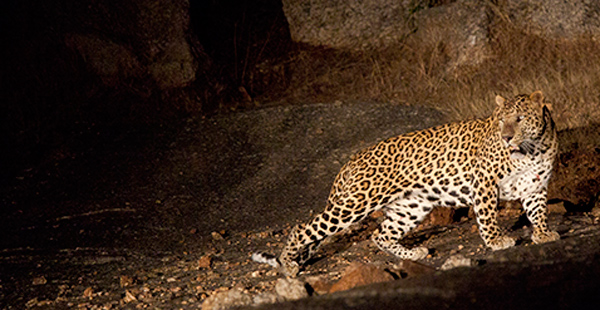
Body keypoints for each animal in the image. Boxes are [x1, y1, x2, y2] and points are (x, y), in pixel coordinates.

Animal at [252, 90, 556, 276]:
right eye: (501, 120)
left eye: (519, 119)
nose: (506, 138)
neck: (534, 148)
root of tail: (350, 161)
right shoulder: (483, 181)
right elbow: (487, 216)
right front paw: (496, 241)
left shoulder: (536, 186)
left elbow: (538, 212)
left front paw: (543, 234)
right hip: (357, 202)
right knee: (304, 227)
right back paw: (288, 264)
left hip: (411, 206)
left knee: (380, 234)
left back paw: (413, 253)